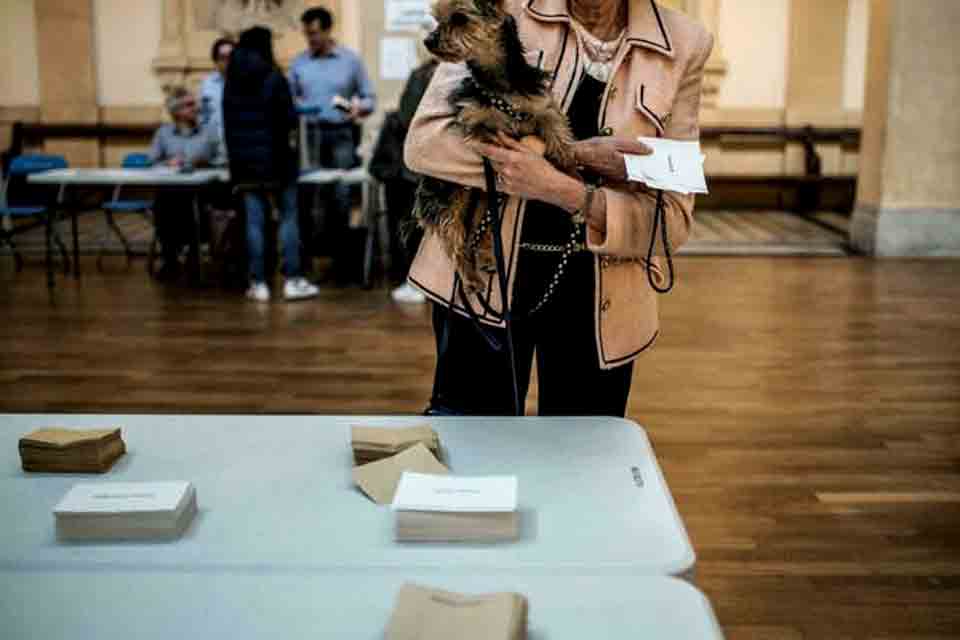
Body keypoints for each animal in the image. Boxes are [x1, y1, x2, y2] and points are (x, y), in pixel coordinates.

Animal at [414, 0, 576, 292]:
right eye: (438, 18)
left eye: (459, 18)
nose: (428, 40)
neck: (498, 84)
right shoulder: (475, 123)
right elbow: (492, 136)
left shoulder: (542, 107)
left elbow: (559, 136)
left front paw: (571, 170)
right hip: (450, 197)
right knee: (457, 238)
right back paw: (471, 277)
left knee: (484, 223)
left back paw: (488, 255)